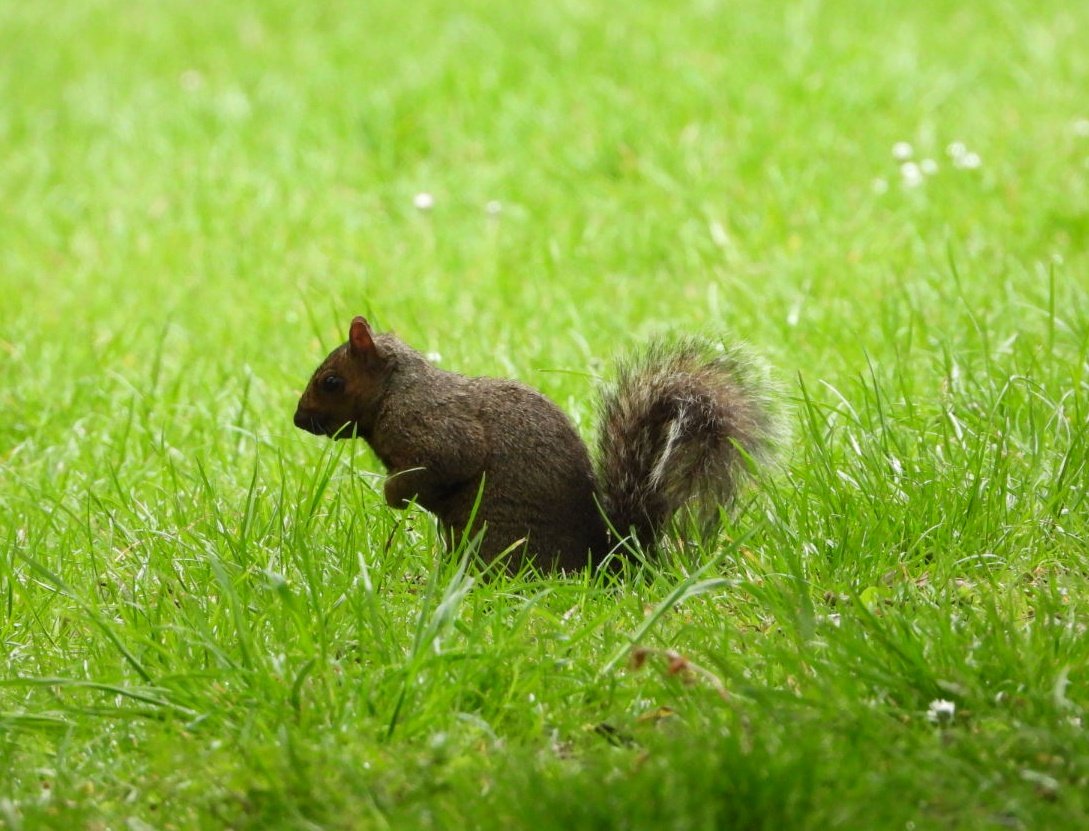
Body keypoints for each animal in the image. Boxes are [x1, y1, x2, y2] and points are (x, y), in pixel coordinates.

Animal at [293, 316, 782, 572]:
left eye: (331, 381)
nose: (299, 421)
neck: (396, 390)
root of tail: (607, 562)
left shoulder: (435, 427)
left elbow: (444, 463)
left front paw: (393, 497)